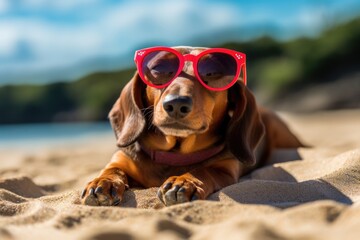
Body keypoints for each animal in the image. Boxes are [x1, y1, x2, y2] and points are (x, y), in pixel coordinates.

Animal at [80, 46, 302, 206]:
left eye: (212, 72)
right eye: (158, 69)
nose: (176, 104)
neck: (175, 154)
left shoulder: (226, 169)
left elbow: (204, 170)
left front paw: (185, 182)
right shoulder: (120, 160)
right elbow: (112, 170)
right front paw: (103, 182)